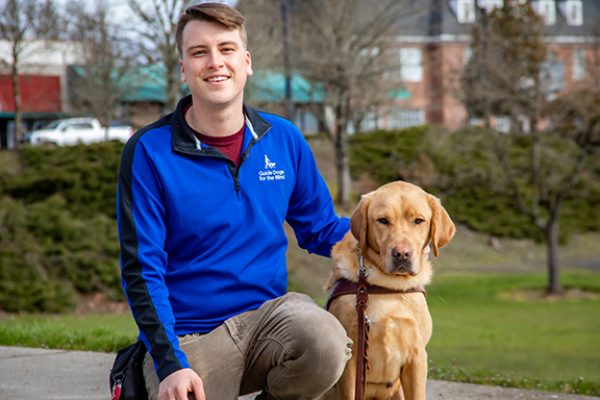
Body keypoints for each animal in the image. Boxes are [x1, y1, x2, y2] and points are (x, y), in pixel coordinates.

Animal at [326, 180, 452, 400]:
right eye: (382, 220)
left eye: (419, 221)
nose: (401, 253)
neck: (389, 286)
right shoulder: (351, 358)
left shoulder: (417, 357)